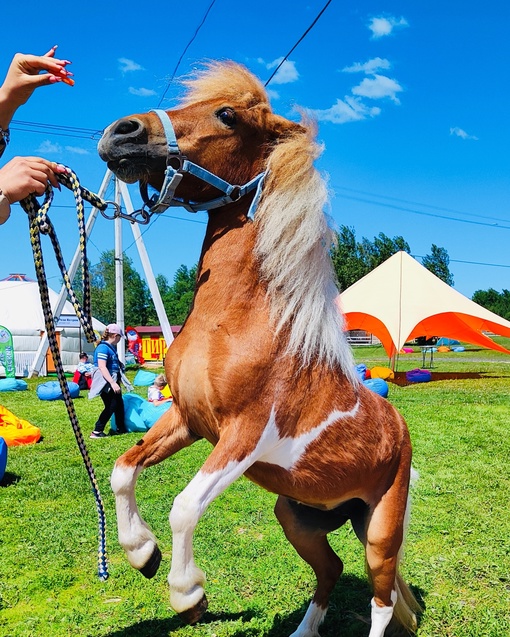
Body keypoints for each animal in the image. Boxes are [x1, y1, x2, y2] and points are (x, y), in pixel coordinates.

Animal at [97, 60, 420, 636]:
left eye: (227, 115)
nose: (122, 132)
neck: (235, 326)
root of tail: (399, 428)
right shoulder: (186, 419)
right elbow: (123, 467)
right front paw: (142, 554)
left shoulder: (244, 436)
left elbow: (184, 506)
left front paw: (188, 593)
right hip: (298, 517)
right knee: (331, 569)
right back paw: (302, 631)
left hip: (381, 531)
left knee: (382, 599)